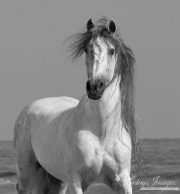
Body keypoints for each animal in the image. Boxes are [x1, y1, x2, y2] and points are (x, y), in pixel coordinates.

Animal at [14, 17, 141, 194]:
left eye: (112, 50)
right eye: (87, 49)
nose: (94, 87)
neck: (101, 132)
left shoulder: (122, 179)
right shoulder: (75, 180)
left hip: (57, 180)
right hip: (26, 174)